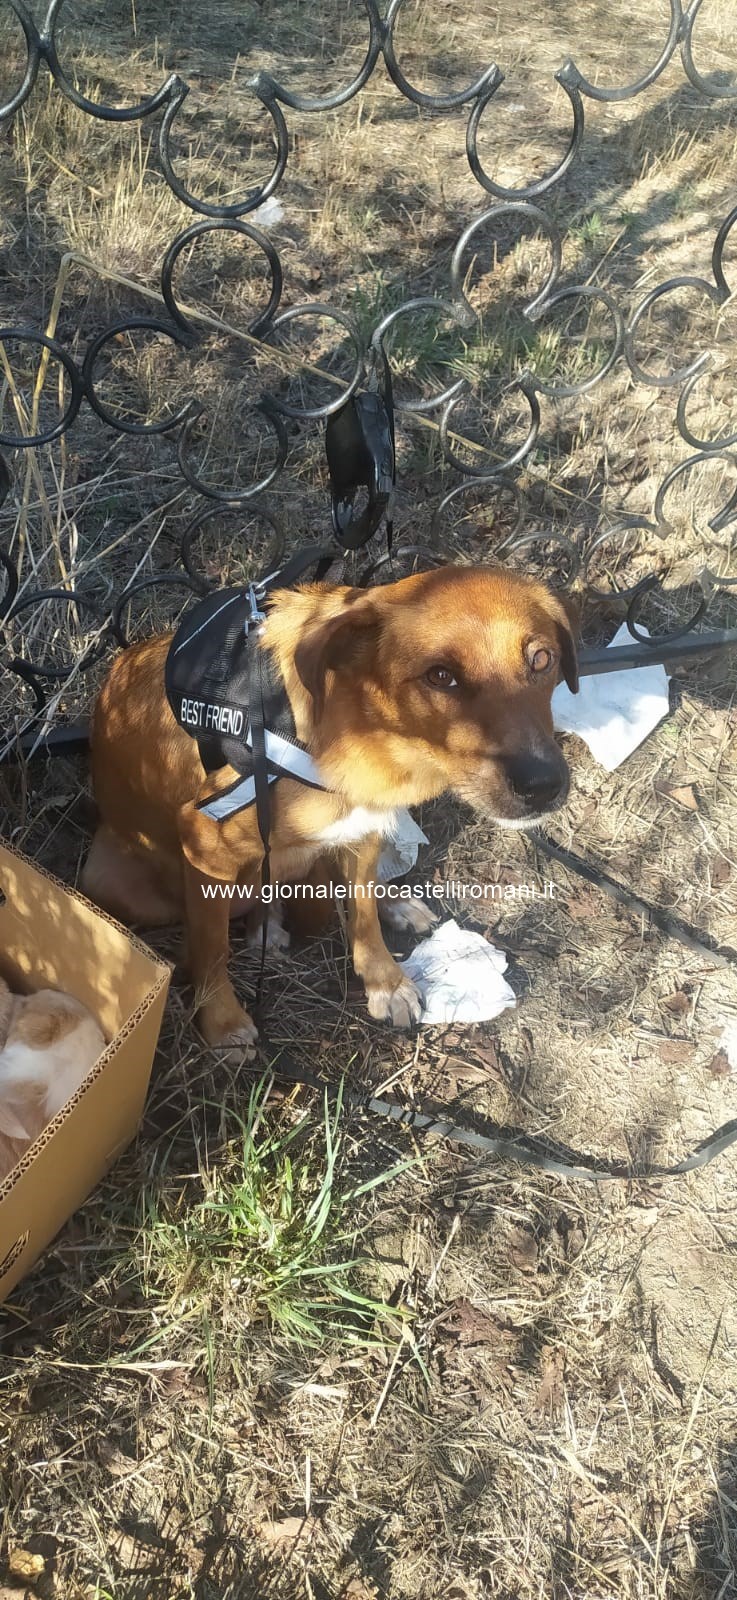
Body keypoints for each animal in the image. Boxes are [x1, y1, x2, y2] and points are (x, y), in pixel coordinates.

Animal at [80, 563, 575, 1049]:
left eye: (541, 659)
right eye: (440, 676)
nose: (544, 786)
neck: (368, 735)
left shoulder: (366, 827)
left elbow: (364, 913)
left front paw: (385, 981)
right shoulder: (205, 846)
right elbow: (211, 946)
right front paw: (221, 1020)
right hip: (112, 882)